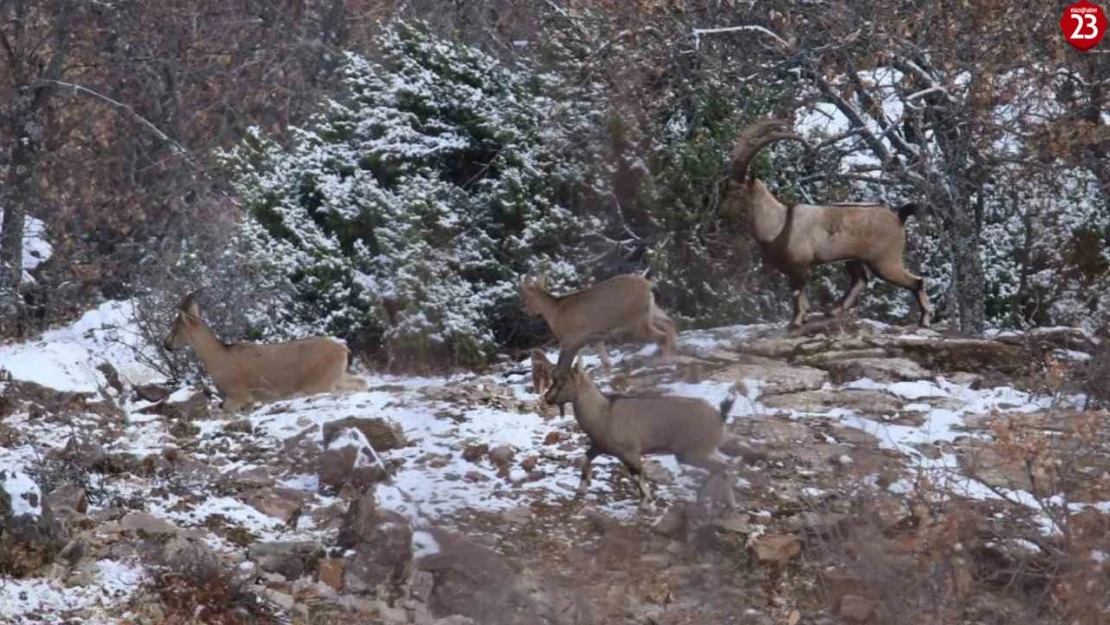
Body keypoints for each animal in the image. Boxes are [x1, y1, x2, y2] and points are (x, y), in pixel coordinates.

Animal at [162, 295, 366, 415]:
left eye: (176, 328)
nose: (166, 344)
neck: (218, 358)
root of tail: (344, 350)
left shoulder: (237, 396)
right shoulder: (249, 402)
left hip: (319, 383)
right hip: (338, 376)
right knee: (362, 382)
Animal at [519, 274, 674, 377]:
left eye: (526, 298)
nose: (527, 311)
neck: (555, 312)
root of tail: (649, 285)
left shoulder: (570, 339)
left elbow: (562, 367)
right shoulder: (595, 336)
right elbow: (605, 362)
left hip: (637, 321)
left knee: (661, 336)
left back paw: (666, 361)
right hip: (651, 312)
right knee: (669, 322)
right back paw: (675, 350)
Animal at [543, 359, 737, 510]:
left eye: (563, 381)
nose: (547, 398)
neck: (603, 412)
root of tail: (720, 416)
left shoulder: (629, 452)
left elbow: (637, 474)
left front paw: (645, 501)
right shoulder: (598, 446)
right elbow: (584, 460)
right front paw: (581, 489)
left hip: (691, 452)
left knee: (721, 467)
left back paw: (705, 497)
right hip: (703, 451)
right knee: (724, 467)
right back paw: (727, 502)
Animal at [723, 119, 932, 330]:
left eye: (737, 192)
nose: (724, 213)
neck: (778, 223)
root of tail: (898, 217)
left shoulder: (800, 266)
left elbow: (797, 293)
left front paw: (796, 321)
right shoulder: (793, 269)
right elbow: (800, 294)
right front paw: (803, 317)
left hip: (885, 261)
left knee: (916, 281)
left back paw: (924, 320)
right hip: (855, 258)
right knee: (860, 279)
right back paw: (834, 310)